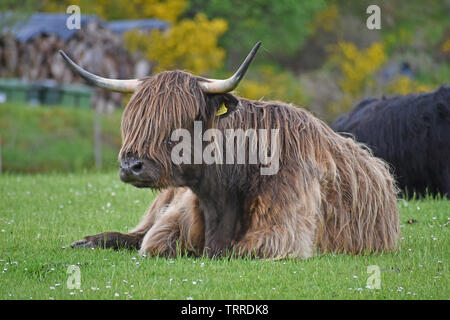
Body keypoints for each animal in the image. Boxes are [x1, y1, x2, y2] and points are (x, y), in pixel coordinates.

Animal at [61, 42, 400, 258]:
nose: (132, 166)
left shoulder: (282, 233)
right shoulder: (169, 226)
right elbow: (153, 242)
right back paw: (87, 242)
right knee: (135, 233)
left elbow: (238, 250)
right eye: (133, 118)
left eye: (185, 118)